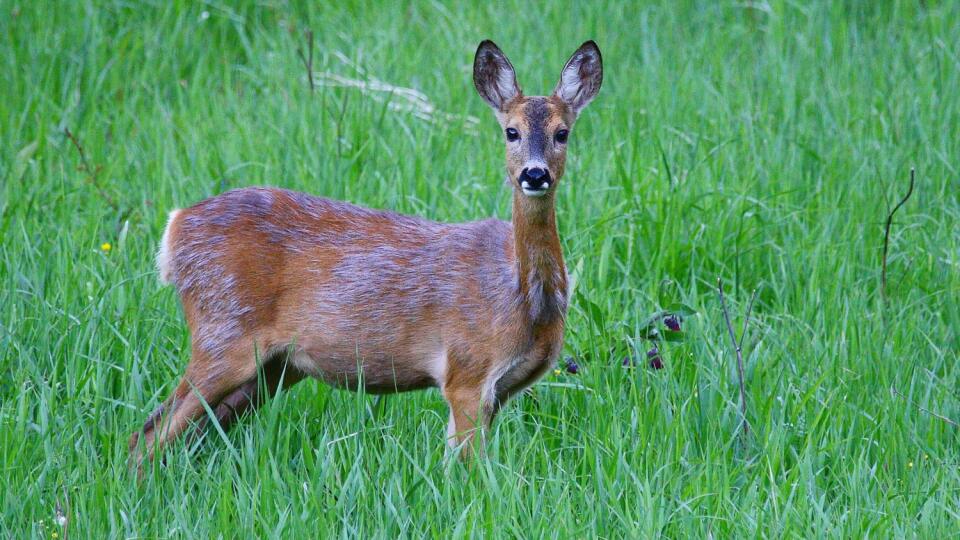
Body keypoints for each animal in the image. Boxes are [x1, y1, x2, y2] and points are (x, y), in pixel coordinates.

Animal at [131, 40, 604, 466]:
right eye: (511, 131)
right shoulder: (465, 370)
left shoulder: (501, 390)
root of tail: (175, 228)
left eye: (562, 133)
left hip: (274, 367)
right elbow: (467, 470)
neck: (523, 300)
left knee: (185, 434)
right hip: (222, 331)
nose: (535, 174)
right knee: (149, 435)